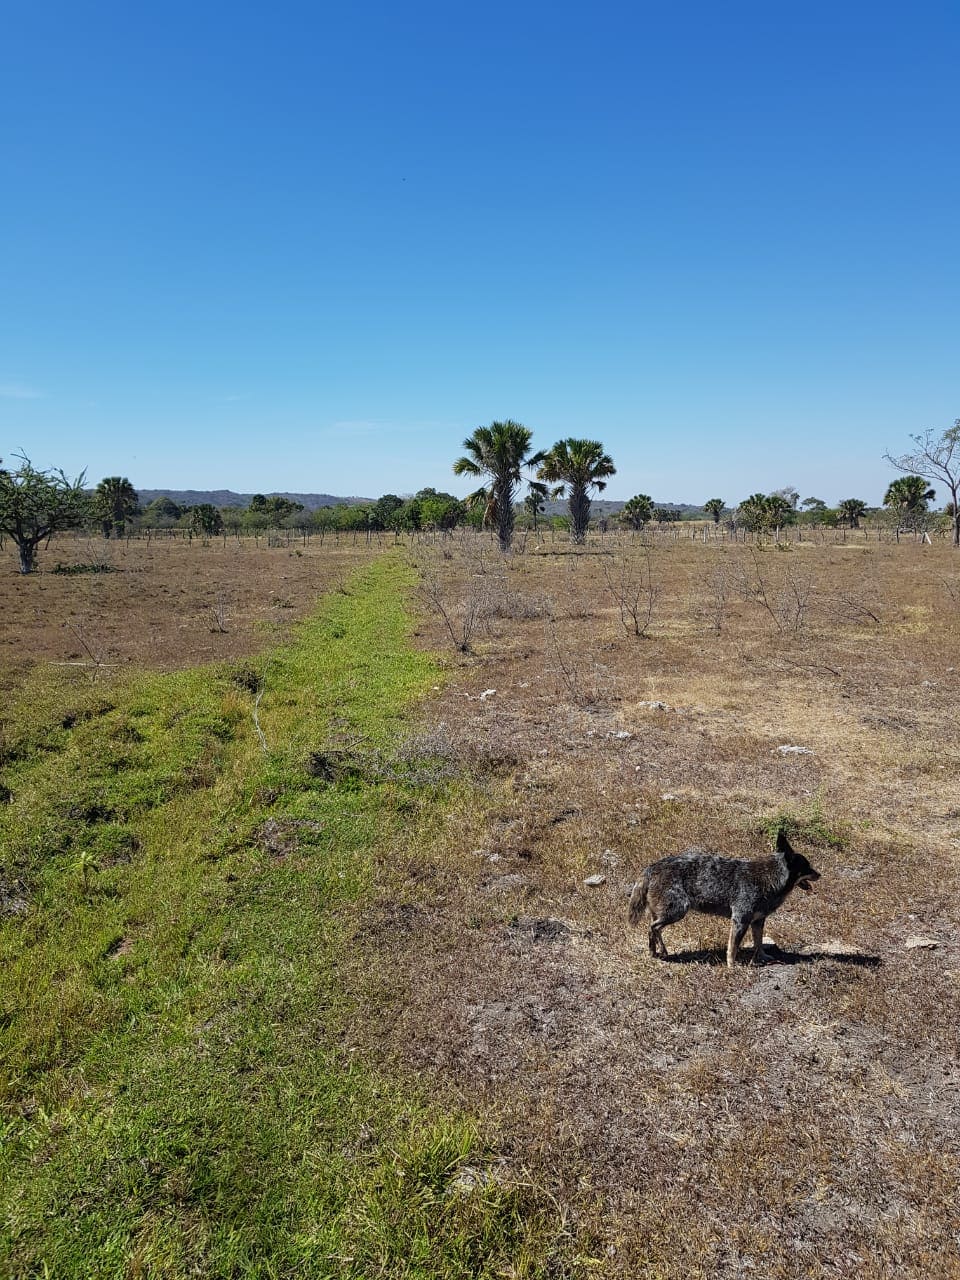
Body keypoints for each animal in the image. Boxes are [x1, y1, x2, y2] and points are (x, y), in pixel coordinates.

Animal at [632, 834, 819, 962]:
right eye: (808, 867)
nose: (820, 875)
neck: (769, 879)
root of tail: (652, 867)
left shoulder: (757, 921)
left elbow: (758, 943)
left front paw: (763, 956)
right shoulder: (740, 920)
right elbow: (732, 948)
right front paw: (731, 966)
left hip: (665, 914)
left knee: (652, 930)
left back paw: (654, 952)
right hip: (676, 912)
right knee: (653, 928)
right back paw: (661, 951)